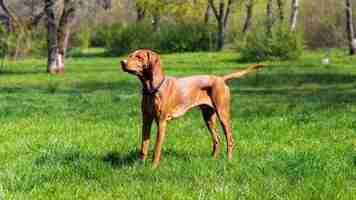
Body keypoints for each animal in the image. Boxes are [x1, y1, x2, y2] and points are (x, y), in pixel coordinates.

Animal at [121, 49, 266, 168]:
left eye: (139, 57)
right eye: (130, 55)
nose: (122, 62)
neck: (151, 88)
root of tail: (220, 78)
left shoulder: (161, 122)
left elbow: (157, 147)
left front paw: (153, 167)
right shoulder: (146, 120)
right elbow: (143, 146)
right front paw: (140, 165)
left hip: (223, 114)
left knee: (229, 138)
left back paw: (228, 160)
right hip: (208, 117)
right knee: (217, 139)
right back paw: (213, 159)